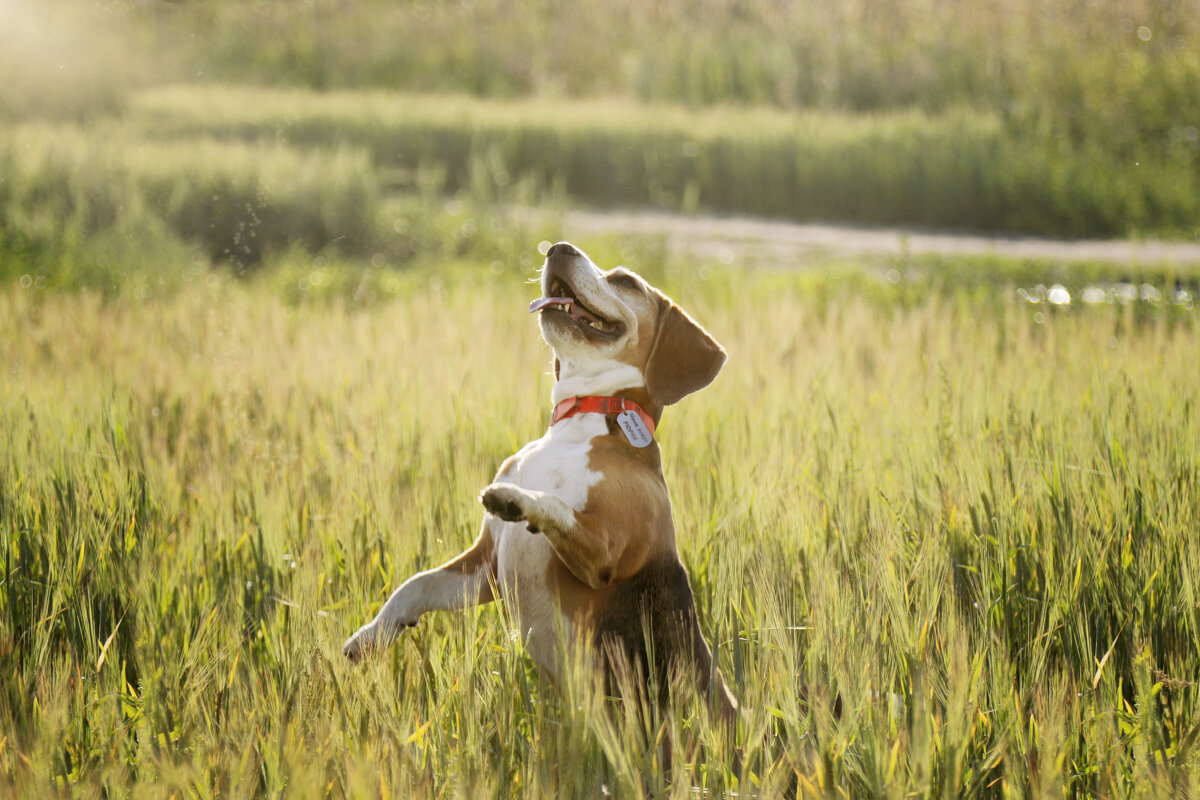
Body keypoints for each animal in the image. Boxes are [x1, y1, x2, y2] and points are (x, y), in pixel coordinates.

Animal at [348, 242, 734, 719]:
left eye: (626, 281)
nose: (559, 247)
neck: (583, 417)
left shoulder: (606, 551)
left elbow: (556, 505)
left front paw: (516, 498)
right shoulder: (486, 566)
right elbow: (414, 585)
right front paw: (372, 634)